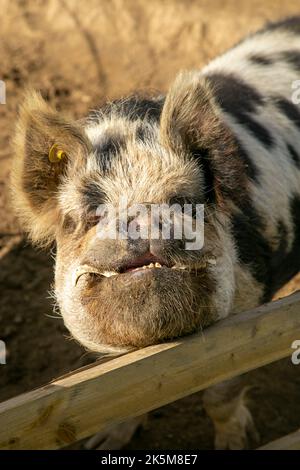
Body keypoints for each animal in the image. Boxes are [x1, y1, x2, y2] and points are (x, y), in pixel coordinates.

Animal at [10, 14, 300, 448]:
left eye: (183, 202)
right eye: (92, 213)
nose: (142, 217)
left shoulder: (248, 313)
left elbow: (221, 393)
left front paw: (239, 443)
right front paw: (102, 442)